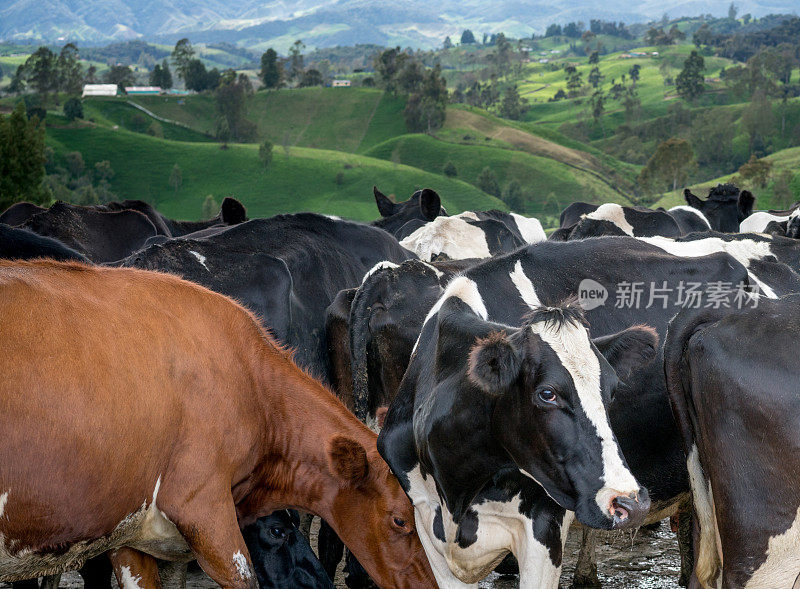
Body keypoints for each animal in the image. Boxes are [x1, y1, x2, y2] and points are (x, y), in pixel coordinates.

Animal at [376, 237, 752, 584]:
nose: (630, 503)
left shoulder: (544, 527)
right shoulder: (429, 529)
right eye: (547, 394)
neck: (458, 489)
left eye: (611, 390)